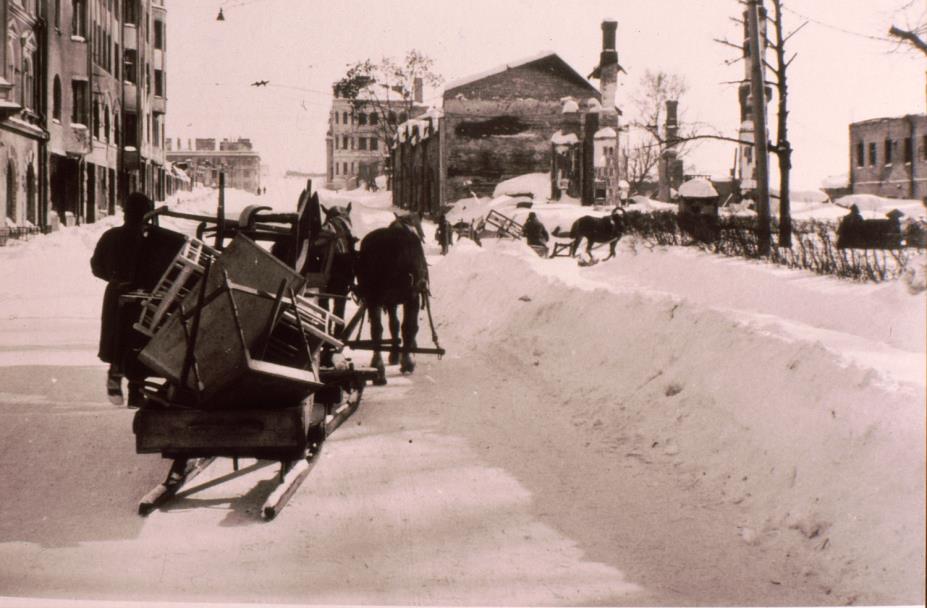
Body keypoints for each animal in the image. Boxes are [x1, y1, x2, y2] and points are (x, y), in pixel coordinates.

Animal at [356, 213, 428, 384]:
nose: (422, 235)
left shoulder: (390, 301)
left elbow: (393, 325)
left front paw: (395, 354)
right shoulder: (406, 298)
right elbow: (404, 326)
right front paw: (402, 357)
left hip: (373, 296)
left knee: (376, 330)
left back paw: (378, 368)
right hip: (410, 296)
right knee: (408, 327)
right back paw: (406, 362)